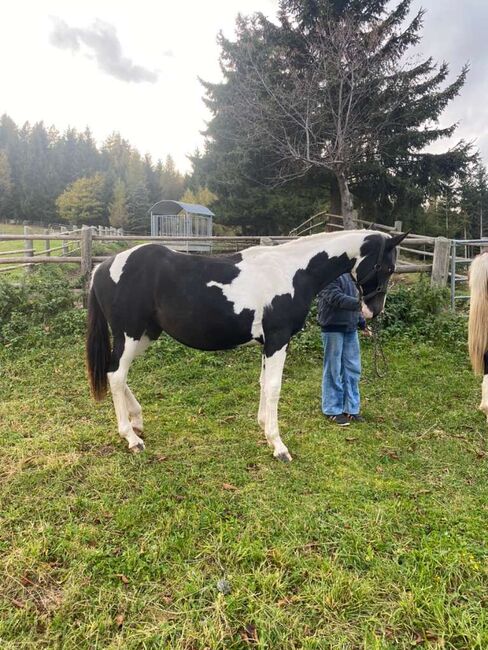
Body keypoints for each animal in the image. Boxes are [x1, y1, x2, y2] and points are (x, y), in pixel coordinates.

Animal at [86, 230, 404, 458]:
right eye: (387, 267)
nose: (373, 312)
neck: (293, 271)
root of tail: (103, 267)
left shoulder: (267, 343)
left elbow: (263, 384)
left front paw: (264, 428)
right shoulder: (278, 339)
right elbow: (274, 387)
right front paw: (278, 446)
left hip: (145, 334)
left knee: (116, 373)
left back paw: (137, 422)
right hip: (129, 334)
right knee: (116, 375)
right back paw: (131, 438)